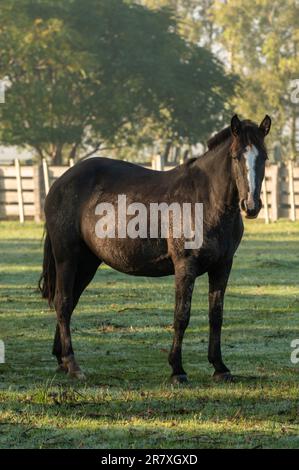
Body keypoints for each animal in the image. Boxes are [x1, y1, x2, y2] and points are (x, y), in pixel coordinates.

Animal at [39, 114, 272, 382]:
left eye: (264, 157)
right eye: (235, 156)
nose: (251, 205)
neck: (207, 201)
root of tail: (60, 183)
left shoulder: (222, 266)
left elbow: (216, 316)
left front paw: (220, 367)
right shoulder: (185, 266)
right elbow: (182, 315)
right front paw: (177, 370)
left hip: (87, 263)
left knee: (70, 302)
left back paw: (61, 360)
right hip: (67, 258)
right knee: (63, 303)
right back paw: (73, 364)